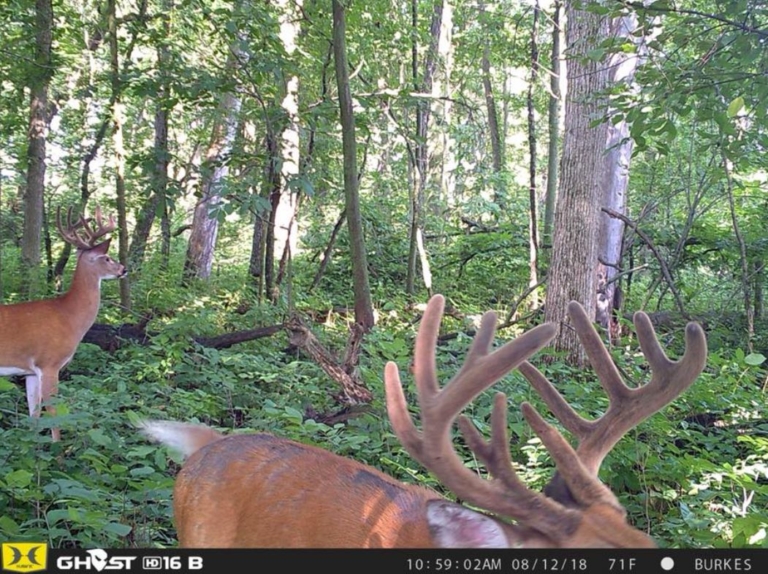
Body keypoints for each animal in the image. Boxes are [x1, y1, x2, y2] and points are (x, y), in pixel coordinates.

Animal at [0, 206, 126, 442]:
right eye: (106, 258)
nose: (124, 269)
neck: (69, 317)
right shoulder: (49, 362)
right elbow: (53, 413)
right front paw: (57, 450)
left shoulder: (30, 372)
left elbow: (34, 415)